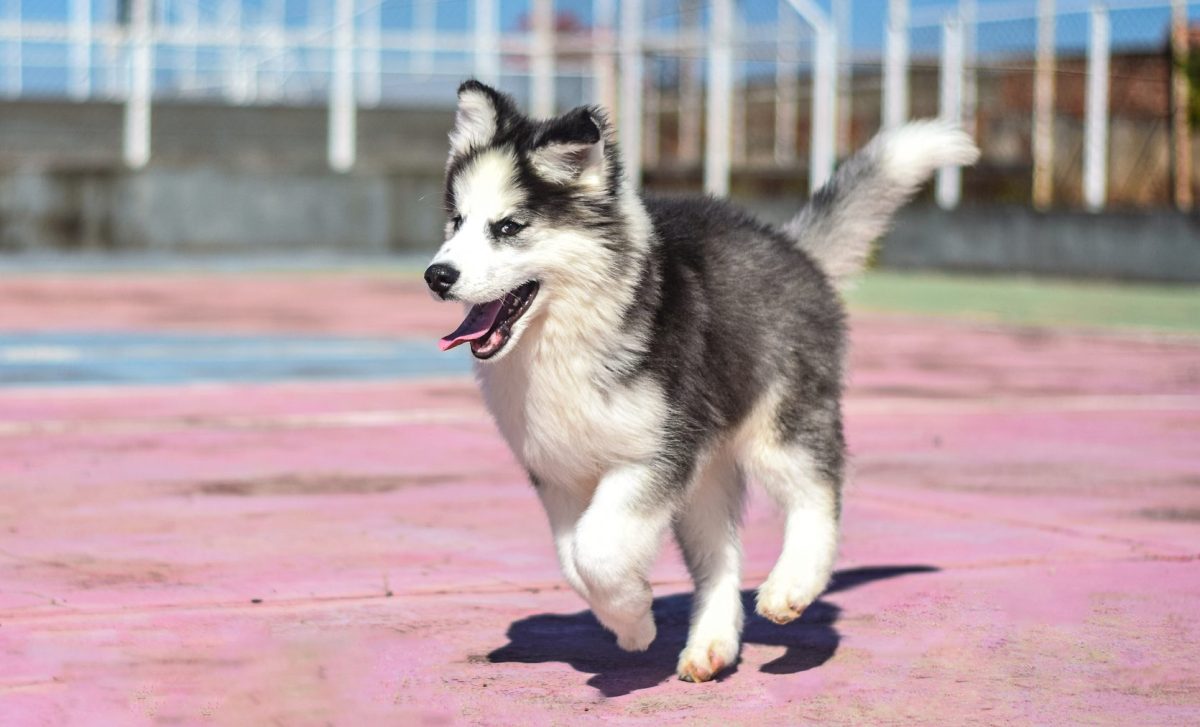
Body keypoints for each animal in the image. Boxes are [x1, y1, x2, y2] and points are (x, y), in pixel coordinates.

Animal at [427, 79, 979, 681]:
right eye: (457, 222)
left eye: (508, 227)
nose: (437, 276)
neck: (567, 339)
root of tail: (791, 247)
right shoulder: (559, 473)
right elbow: (574, 561)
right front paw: (632, 624)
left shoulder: (659, 453)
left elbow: (597, 549)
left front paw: (635, 609)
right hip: (706, 480)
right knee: (720, 559)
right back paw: (711, 644)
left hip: (779, 423)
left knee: (818, 492)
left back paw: (791, 587)